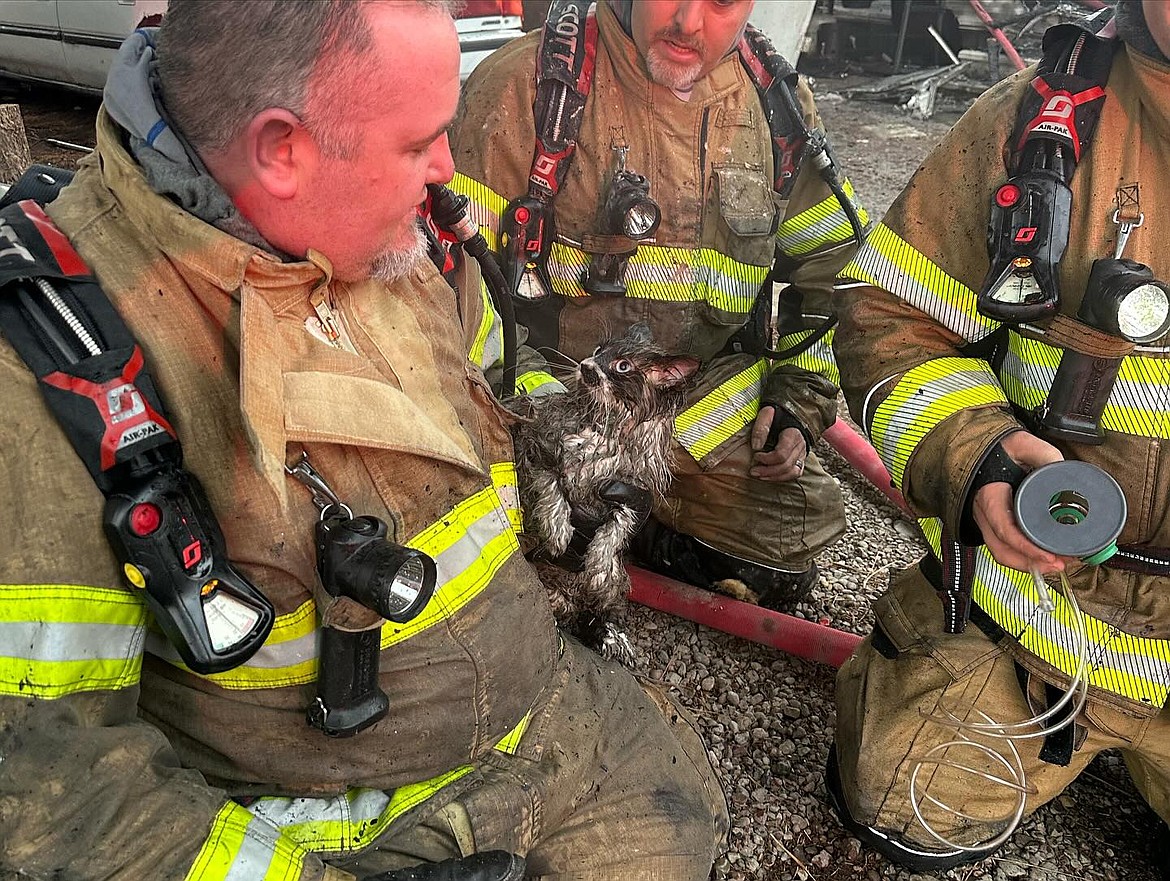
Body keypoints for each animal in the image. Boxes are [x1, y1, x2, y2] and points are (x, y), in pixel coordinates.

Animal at [510, 320, 692, 659]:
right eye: (598, 350)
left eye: (622, 366)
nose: (586, 365)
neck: (608, 426)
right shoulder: (535, 449)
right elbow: (552, 489)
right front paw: (557, 532)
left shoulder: (631, 492)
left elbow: (616, 530)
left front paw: (598, 562)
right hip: (551, 590)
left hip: (614, 587)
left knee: (599, 610)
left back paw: (611, 635)